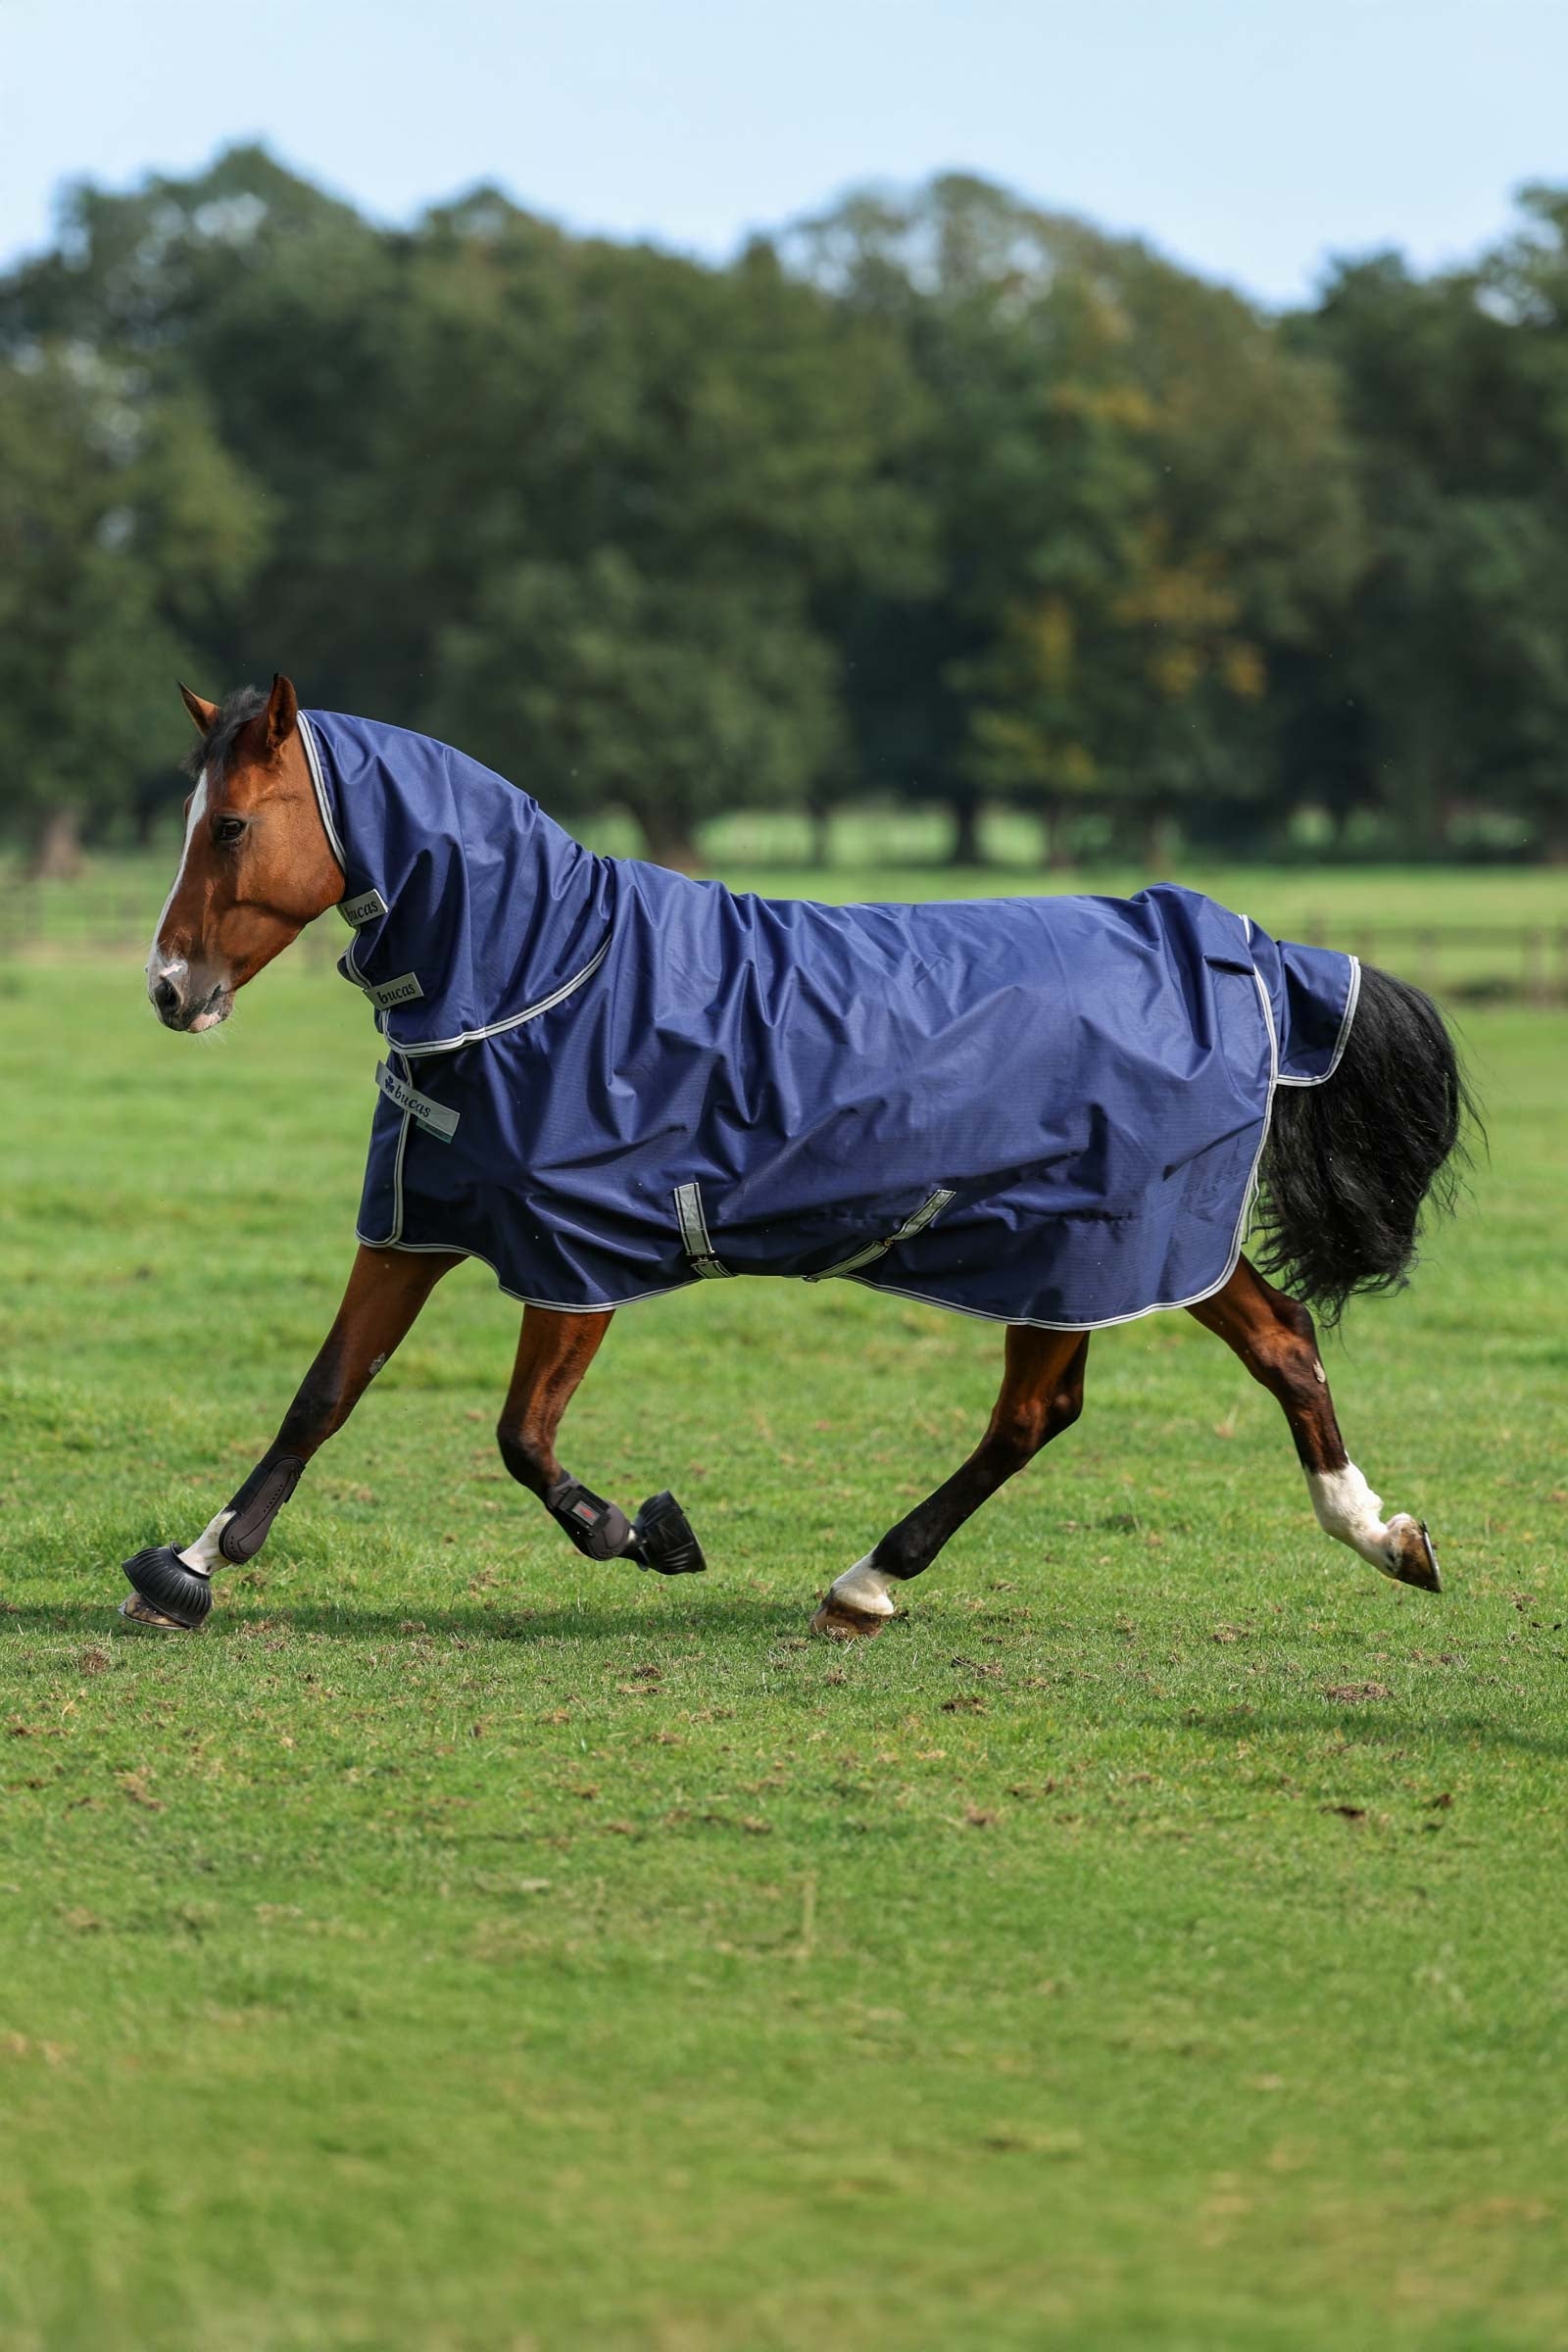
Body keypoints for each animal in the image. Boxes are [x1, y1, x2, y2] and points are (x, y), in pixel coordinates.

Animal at [123, 674, 1472, 1638]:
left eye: (231, 824)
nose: (169, 990)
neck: (537, 978)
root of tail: (1238, 946)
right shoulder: (417, 1225)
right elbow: (324, 1395)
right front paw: (192, 1565)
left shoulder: (576, 1260)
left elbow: (520, 1438)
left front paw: (644, 1533)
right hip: (1107, 1249)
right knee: (1245, 1351)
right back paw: (1379, 1535)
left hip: (1087, 1243)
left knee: (1048, 1410)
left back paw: (868, 1580)